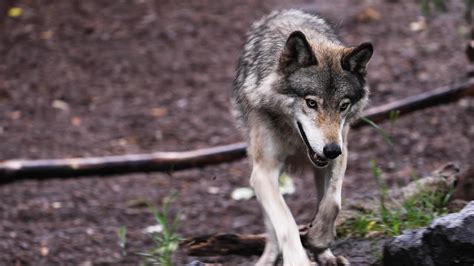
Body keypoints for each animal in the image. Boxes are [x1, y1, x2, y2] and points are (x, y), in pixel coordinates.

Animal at [231, 9, 374, 264]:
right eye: (311, 103)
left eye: (343, 105)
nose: (330, 150)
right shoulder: (264, 172)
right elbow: (286, 222)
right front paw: (298, 259)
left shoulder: (342, 150)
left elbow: (333, 202)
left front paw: (318, 239)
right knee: (271, 228)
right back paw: (268, 258)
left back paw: (326, 255)